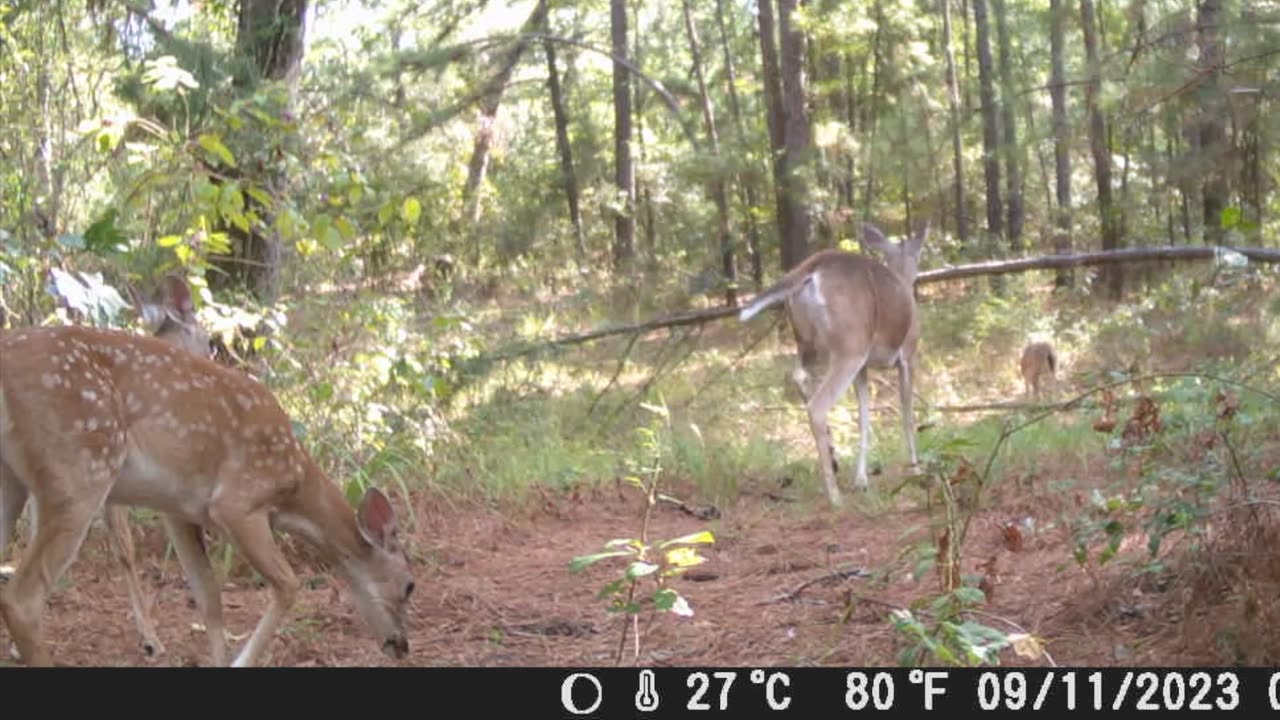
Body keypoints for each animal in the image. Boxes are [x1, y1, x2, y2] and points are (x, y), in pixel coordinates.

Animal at [0, 302, 416, 667]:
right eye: (410, 585)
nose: (403, 645)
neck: (295, 485)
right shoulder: (238, 502)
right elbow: (288, 585)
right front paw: (241, 661)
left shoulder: (178, 510)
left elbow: (208, 597)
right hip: (81, 467)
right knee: (22, 598)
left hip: (19, 483)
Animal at [737, 222, 928, 508]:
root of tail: (813, 267)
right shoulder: (907, 355)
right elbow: (907, 416)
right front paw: (916, 469)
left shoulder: (864, 368)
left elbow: (863, 419)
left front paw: (862, 479)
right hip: (850, 347)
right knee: (817, 405)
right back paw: (835, 495)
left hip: (809, 341)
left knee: (799, 376)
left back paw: (833, 454)